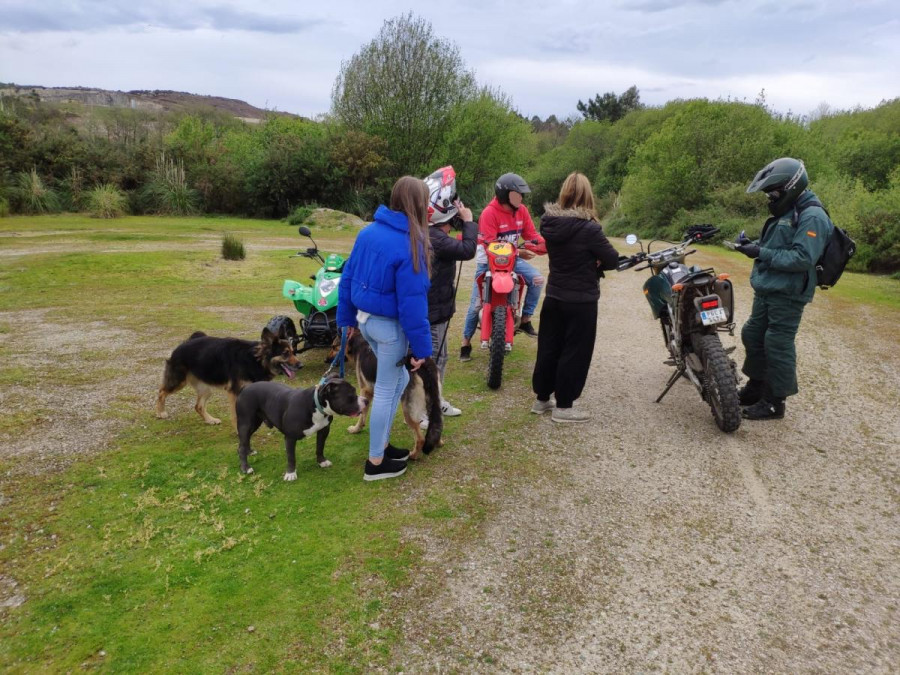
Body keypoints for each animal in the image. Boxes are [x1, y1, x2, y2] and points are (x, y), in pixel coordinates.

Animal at [239, 380, 370, 480]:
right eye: (351, 394)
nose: (366, 400)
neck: (317, 406)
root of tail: (245, 388)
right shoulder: (290, 437)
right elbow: (291, 457)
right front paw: (290, 473)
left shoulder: (324, 430)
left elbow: (320, 447)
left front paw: (321, 461)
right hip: (245, 424)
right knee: (241, 446)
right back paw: (246, 468)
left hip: (254, 423)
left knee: (246, 440)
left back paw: (249, 451)